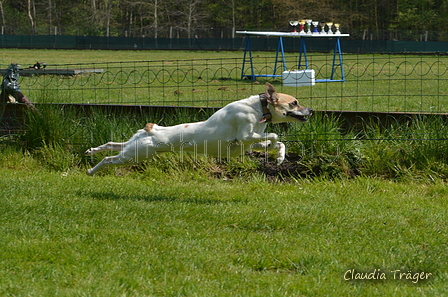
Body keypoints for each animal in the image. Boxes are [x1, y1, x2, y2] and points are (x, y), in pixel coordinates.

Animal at [86, 82, 314, 175]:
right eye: (294, 103)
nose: (311, 110)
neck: (259, 108)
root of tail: (151, 129)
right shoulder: (245, 136)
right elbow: (274, 135)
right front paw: (276, 152)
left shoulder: (250, 142)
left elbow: (276, 142)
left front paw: (280, 157)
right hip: (135, 155)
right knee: (109, 160)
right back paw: (91, 171)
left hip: (134, 148)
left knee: (112, 144)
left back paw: (92, 150)